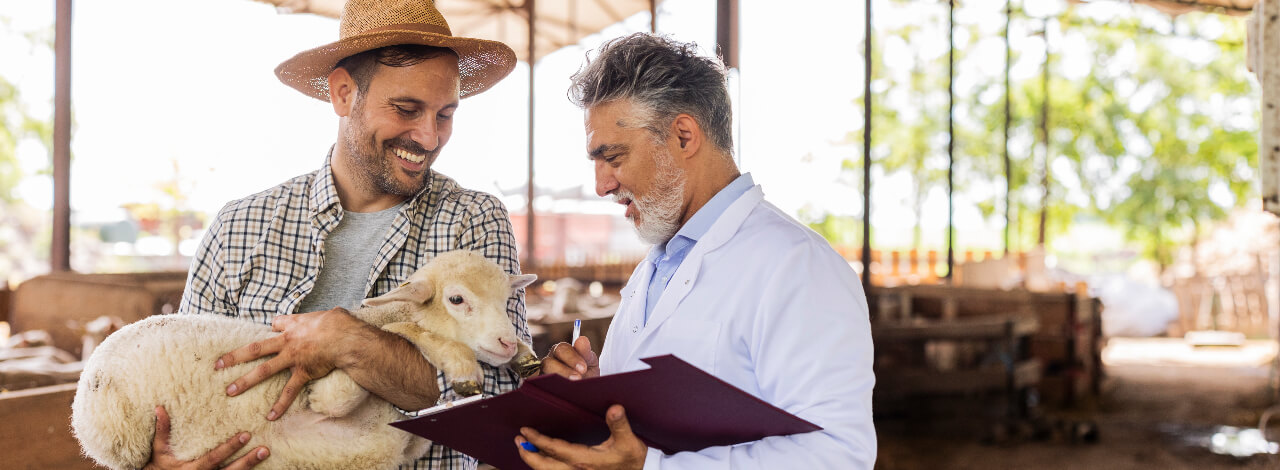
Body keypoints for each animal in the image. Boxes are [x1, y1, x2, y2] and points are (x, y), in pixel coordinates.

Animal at [71, 252, 540, 470]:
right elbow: (402, 332)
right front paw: (463, 368)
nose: (505, 341)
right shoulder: (337, 387)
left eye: (508, 300)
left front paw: (516, 358)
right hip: (125, 438)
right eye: (457, 299)